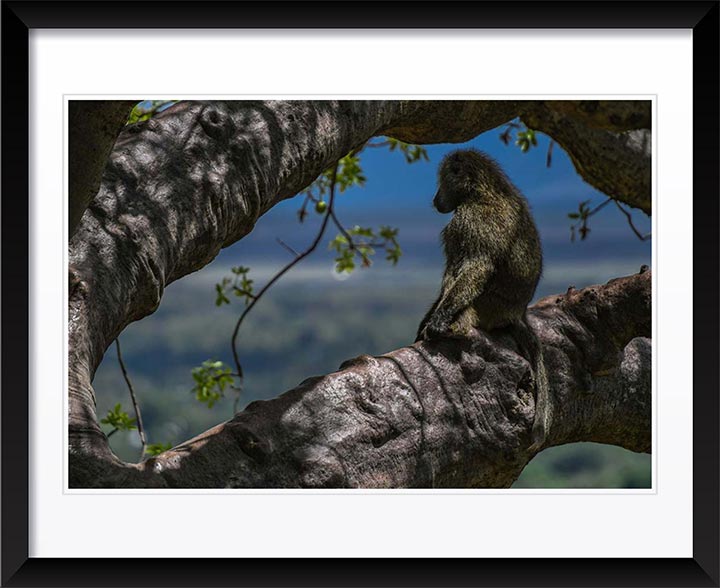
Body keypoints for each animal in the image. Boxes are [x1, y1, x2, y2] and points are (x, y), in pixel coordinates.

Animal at [416, 149, 550, 452]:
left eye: (443, 181)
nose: (434, 199)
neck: (481, 192)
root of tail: (517, 312)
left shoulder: (468, 222)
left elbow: (475, 266)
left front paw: (439, 322)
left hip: (490, 307)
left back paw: (456, 329)